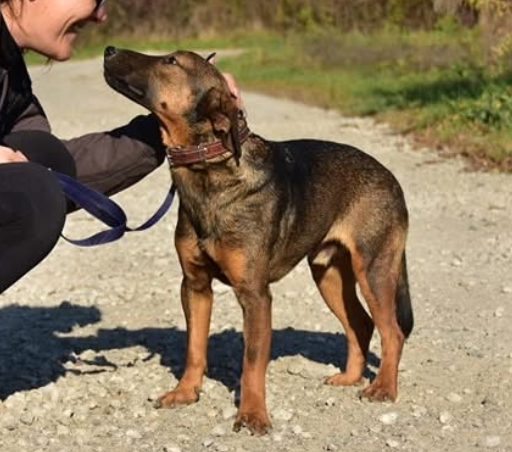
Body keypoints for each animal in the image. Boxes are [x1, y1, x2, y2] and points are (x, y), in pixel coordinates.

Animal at [103, 46, 413, 435]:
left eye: (171, 61)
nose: (109, 49)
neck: (209, 170)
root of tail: (392, 178)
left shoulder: (254, 294)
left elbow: (252, 361)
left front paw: (252, 415)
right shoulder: (195, 285)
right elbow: (194, 348)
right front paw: (185, 393)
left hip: (373, 268)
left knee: (393, 331)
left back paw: (383, 387)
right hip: (328, 273)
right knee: (361, 323)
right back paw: (349, 378)